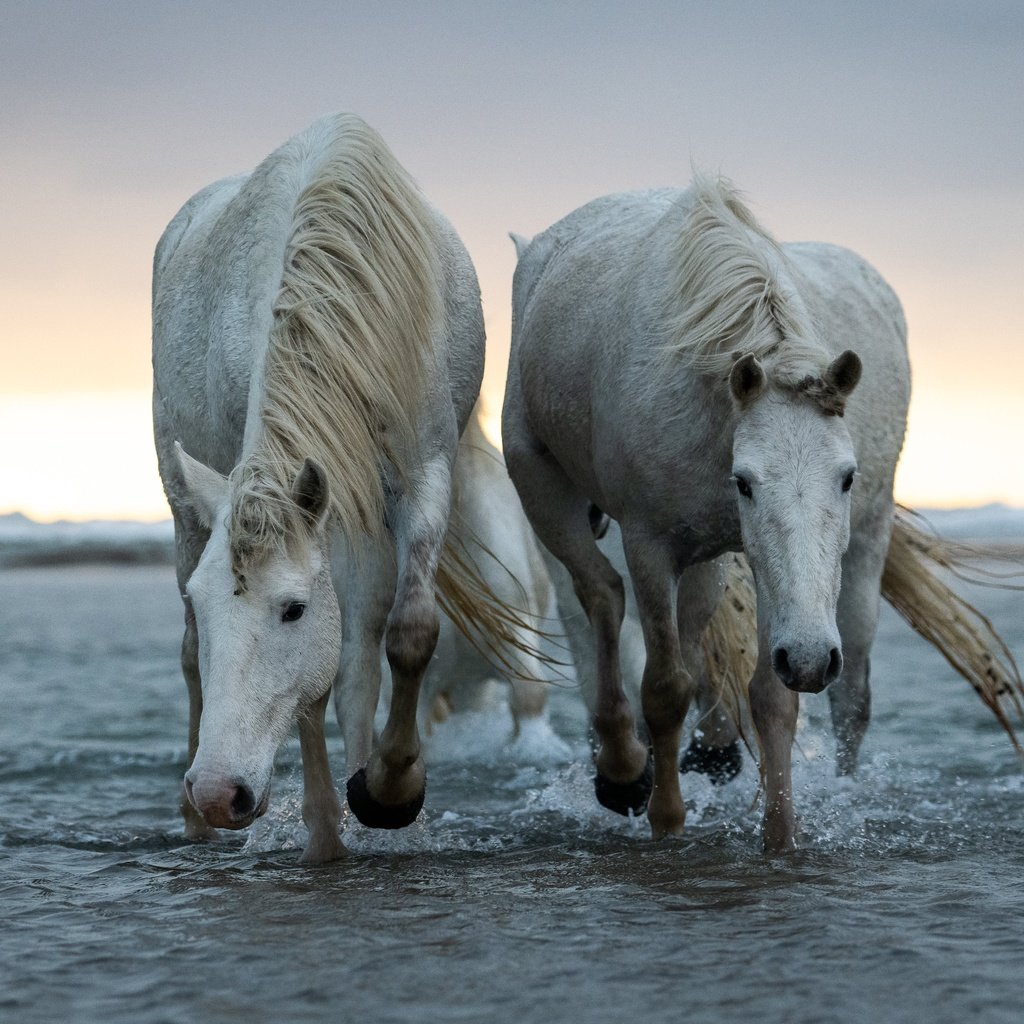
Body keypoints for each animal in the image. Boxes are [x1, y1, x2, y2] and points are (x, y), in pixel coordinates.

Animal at [152, 114, 499, 864]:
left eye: (293, 609)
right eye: (203, 599)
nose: (218, 792)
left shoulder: (421, 475)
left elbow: (405, 631)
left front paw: (390, 792)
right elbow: (310, 685)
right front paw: (324, 832)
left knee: (362, 653)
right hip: (184, 497)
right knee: (191, 657)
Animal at [503, 176, 913, 847]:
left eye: (847, 477)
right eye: (745, 483)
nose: (812, 657)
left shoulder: (752, 559)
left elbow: (771, 697)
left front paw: (780, 837)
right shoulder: (648, 543)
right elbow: (665, 687)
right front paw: (667, 820)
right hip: (542, 487)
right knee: (602, 595)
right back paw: (623, 770)